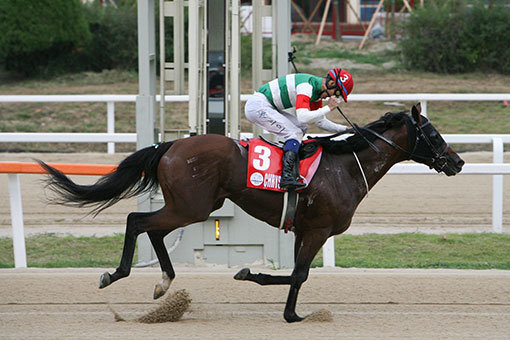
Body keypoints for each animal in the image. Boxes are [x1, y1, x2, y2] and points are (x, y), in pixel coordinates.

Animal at [39, 103, 462, 322]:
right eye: (434, 135)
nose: (456, 162)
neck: (346, 167)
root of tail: (171, 144)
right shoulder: (319, 230)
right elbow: (298, 274)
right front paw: (277, 300)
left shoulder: (304, 229)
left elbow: (297, 275)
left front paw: (285, 309)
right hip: (192, 205)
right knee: (137, 221)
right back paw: (116, 274)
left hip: (192, 205)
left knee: (153, 229)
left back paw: (164, 283)